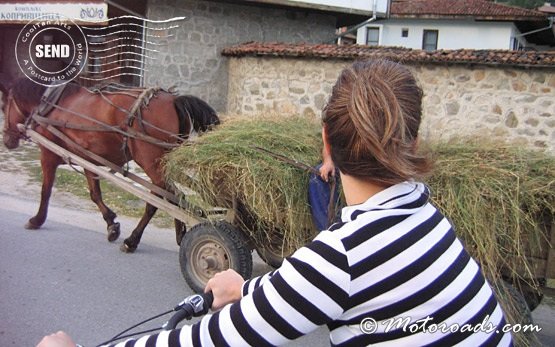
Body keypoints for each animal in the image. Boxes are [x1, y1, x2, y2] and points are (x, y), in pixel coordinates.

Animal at [2, 79, 219, 253]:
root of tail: (173, 100)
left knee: (158, 199)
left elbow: (45, 190)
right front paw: (111, 224)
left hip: (152, 163)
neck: (51, 106)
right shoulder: (88, 159)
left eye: (4, 105)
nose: (6, 140)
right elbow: (95, 194)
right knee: (176, 196)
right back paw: (180, 234)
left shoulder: (48, 155)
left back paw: (132, 240)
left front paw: (37, 219)